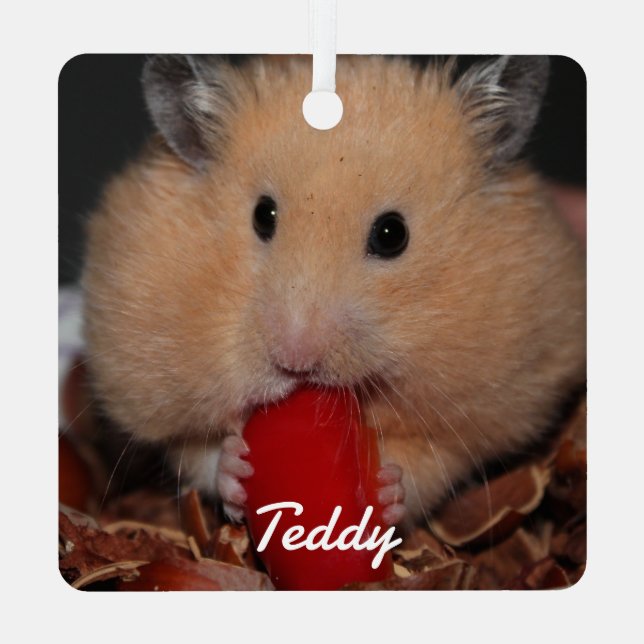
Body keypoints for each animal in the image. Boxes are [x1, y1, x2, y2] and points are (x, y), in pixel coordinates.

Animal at [82, 55, 586, 528]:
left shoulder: (478, 410)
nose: (295, 361)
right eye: (263, 215)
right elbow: (195, 451)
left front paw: (387, 489)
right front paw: (236, 467)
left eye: (392, 234)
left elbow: (430, 463)